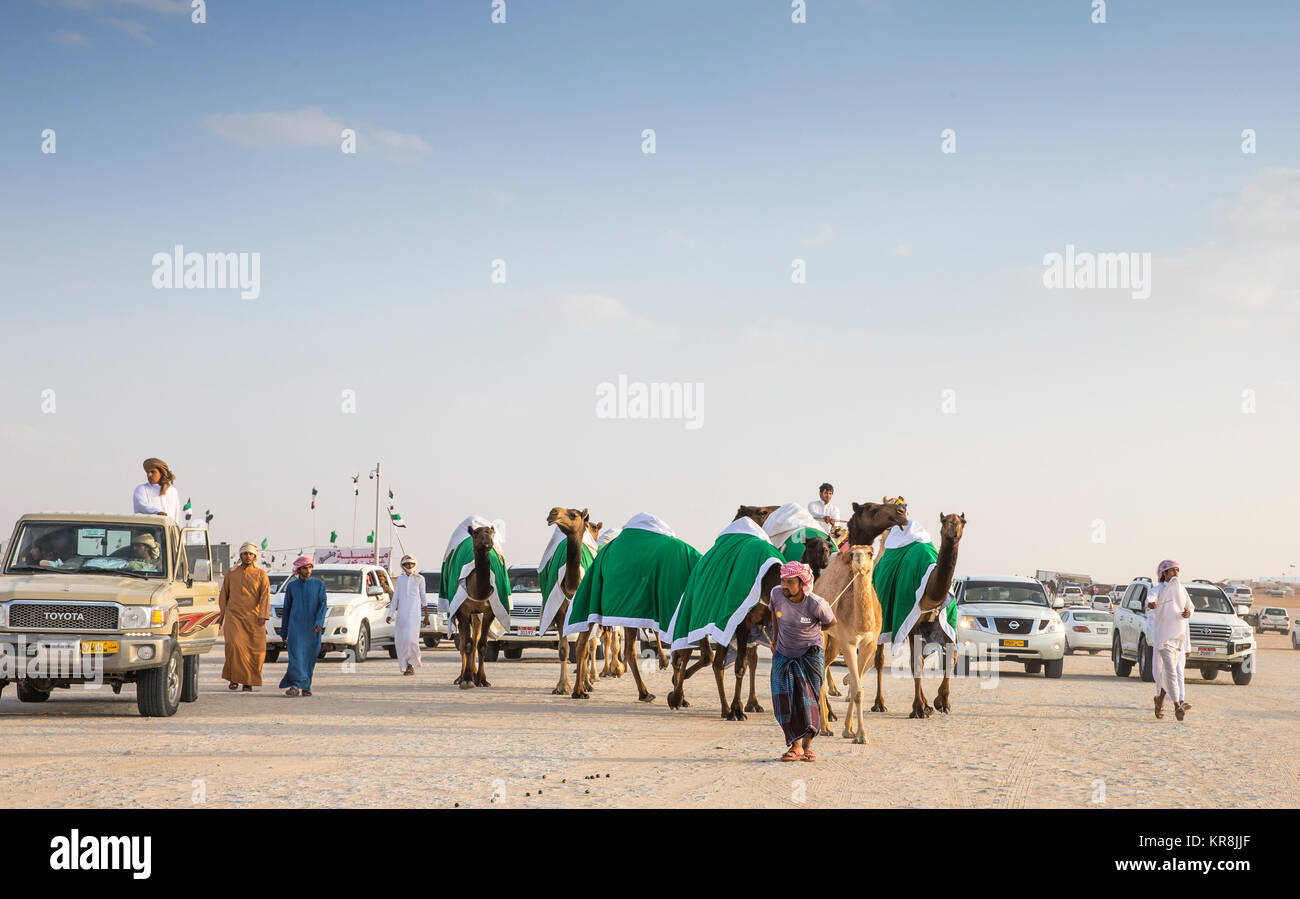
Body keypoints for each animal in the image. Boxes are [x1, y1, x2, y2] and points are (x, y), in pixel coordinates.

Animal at [873, 511, 967, 717]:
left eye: (962, 522)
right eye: (944, 521)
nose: (953, 533)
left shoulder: (945, 623)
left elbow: (951, 657)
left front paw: (941, 702)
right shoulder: (911, 624)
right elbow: (915, 662)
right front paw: (918, 709)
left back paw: (927, 705)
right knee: (880, 659)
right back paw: (880, 703)